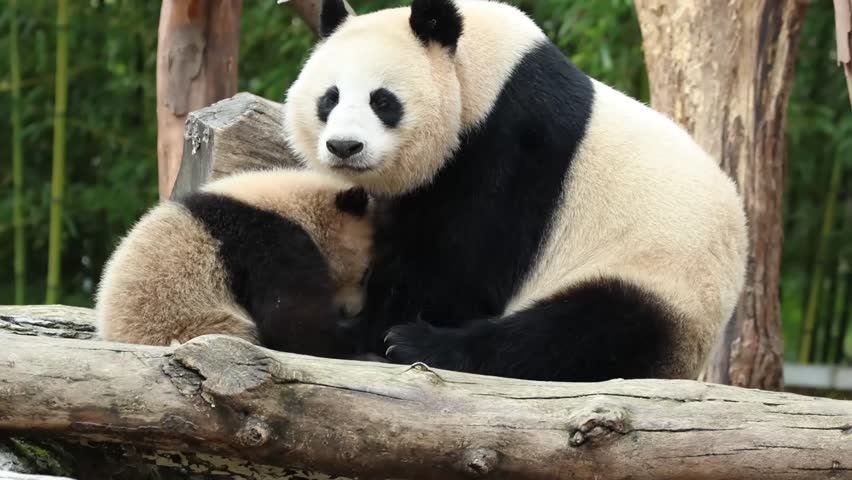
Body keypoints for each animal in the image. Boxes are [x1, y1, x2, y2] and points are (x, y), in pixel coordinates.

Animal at [95, 168, 373, 360]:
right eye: (364, 275)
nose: (352, 310)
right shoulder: (267, 242)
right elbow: (294, 324)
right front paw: (356, 336)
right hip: (202, 324)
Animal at [282, 0, 749, 382]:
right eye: (330, 98)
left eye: (383, 101)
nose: (344, 147)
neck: (484, 74)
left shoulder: (513, 145)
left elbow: (460, 264)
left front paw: (374, 329)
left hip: (660, 276)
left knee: (583, 333)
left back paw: (421, 344)